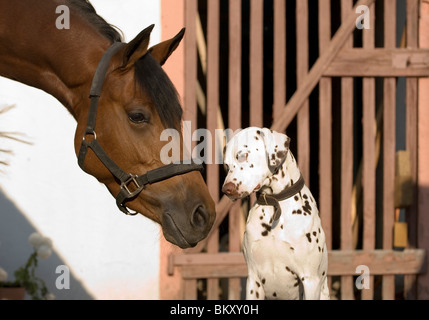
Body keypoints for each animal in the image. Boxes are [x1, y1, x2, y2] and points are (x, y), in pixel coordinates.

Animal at [221, 127, 328, 300]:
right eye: (226, 165)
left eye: (243, 156)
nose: (226, 190)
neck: (274, 203)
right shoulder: (253, 281)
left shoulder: (310, 280)